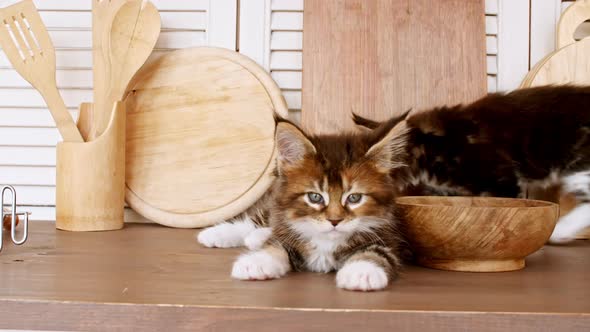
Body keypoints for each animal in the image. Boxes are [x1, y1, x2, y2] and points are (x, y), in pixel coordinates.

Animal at [198, 117, 408, 290]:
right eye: (315, 197)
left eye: (354, 198)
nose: (334, 221)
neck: (325, 242)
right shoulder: (286, 235)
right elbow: (276, 245)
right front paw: (256, 262)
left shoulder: (388, 237)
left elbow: (376, 253)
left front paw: (362, 272)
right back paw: (216, 234)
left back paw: (255, 237)